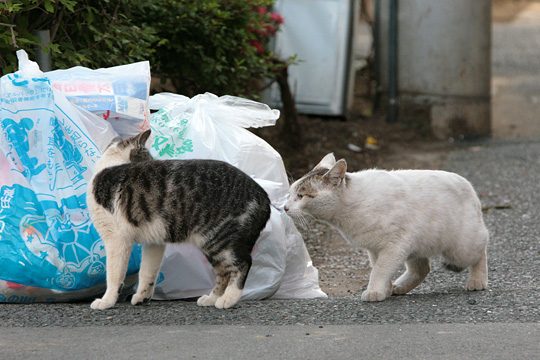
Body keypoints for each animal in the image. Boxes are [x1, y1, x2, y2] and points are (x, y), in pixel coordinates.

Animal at [286, 153, 490, 302]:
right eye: (290, 194)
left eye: (301, 196)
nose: (285, 207)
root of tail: (469, 185)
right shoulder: (375, 249)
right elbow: (378, 268)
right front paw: (385, 289)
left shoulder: (394, 246)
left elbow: (379, 270)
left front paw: (374, 291)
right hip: (417, 247)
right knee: (421, 269)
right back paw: (398, 287)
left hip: (460, 250)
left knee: (481, 250)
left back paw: (477, 281)